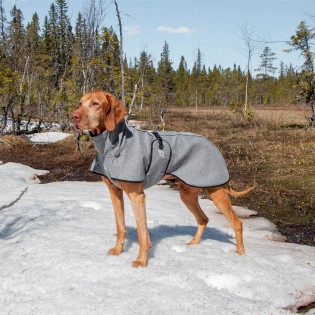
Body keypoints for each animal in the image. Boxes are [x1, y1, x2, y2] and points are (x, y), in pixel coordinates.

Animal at [72, 90, 254, 268]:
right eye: (80, 103)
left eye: (95, 103)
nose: (74, 116)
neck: (114, 145)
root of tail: (213, 145)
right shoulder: (115, 193)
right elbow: (121, 225)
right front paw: (118, 250)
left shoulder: (137, 196)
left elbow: (141, 232)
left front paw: (141, 261)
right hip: (187, 194)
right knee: (203, 219)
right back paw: (193, 244)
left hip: (216, 191)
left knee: (237, 223)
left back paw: (240, 254)